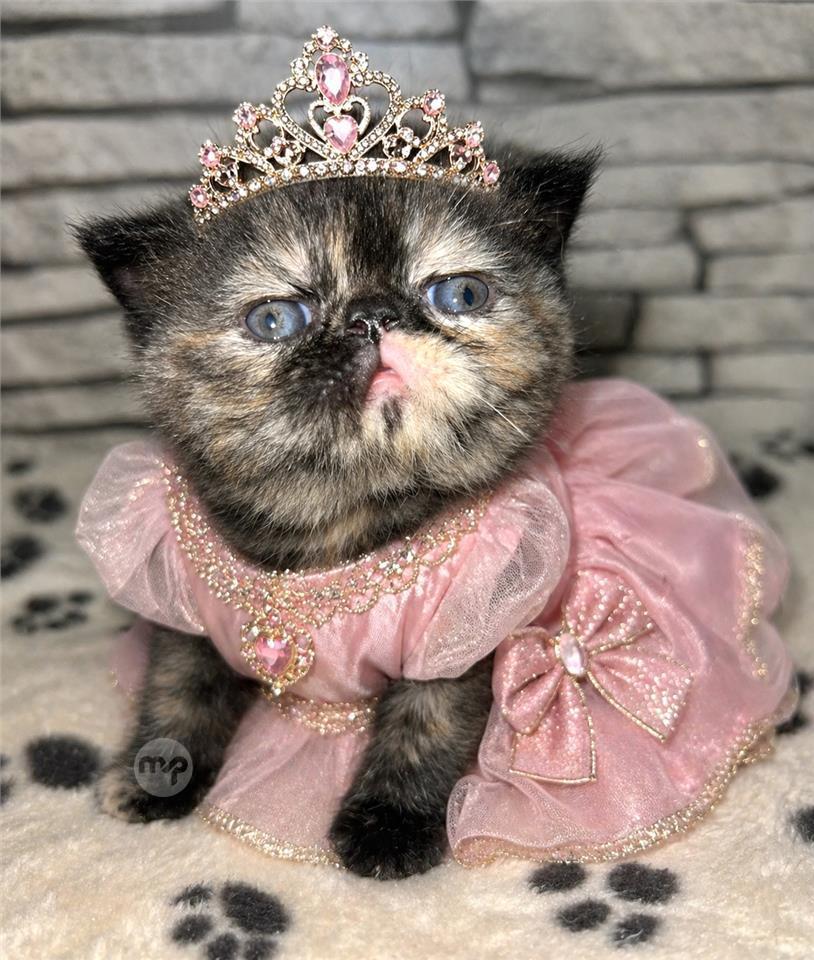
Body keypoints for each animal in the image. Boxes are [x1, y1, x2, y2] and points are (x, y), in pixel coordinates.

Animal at [77, 144, 597, 879]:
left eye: (460, 295)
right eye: (275, 320)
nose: (374, 314)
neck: (334, 524)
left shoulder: (464, 629)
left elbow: (426, 721)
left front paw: (388, 824)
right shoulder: (185, 611)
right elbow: (178, 689)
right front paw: (154, 774)